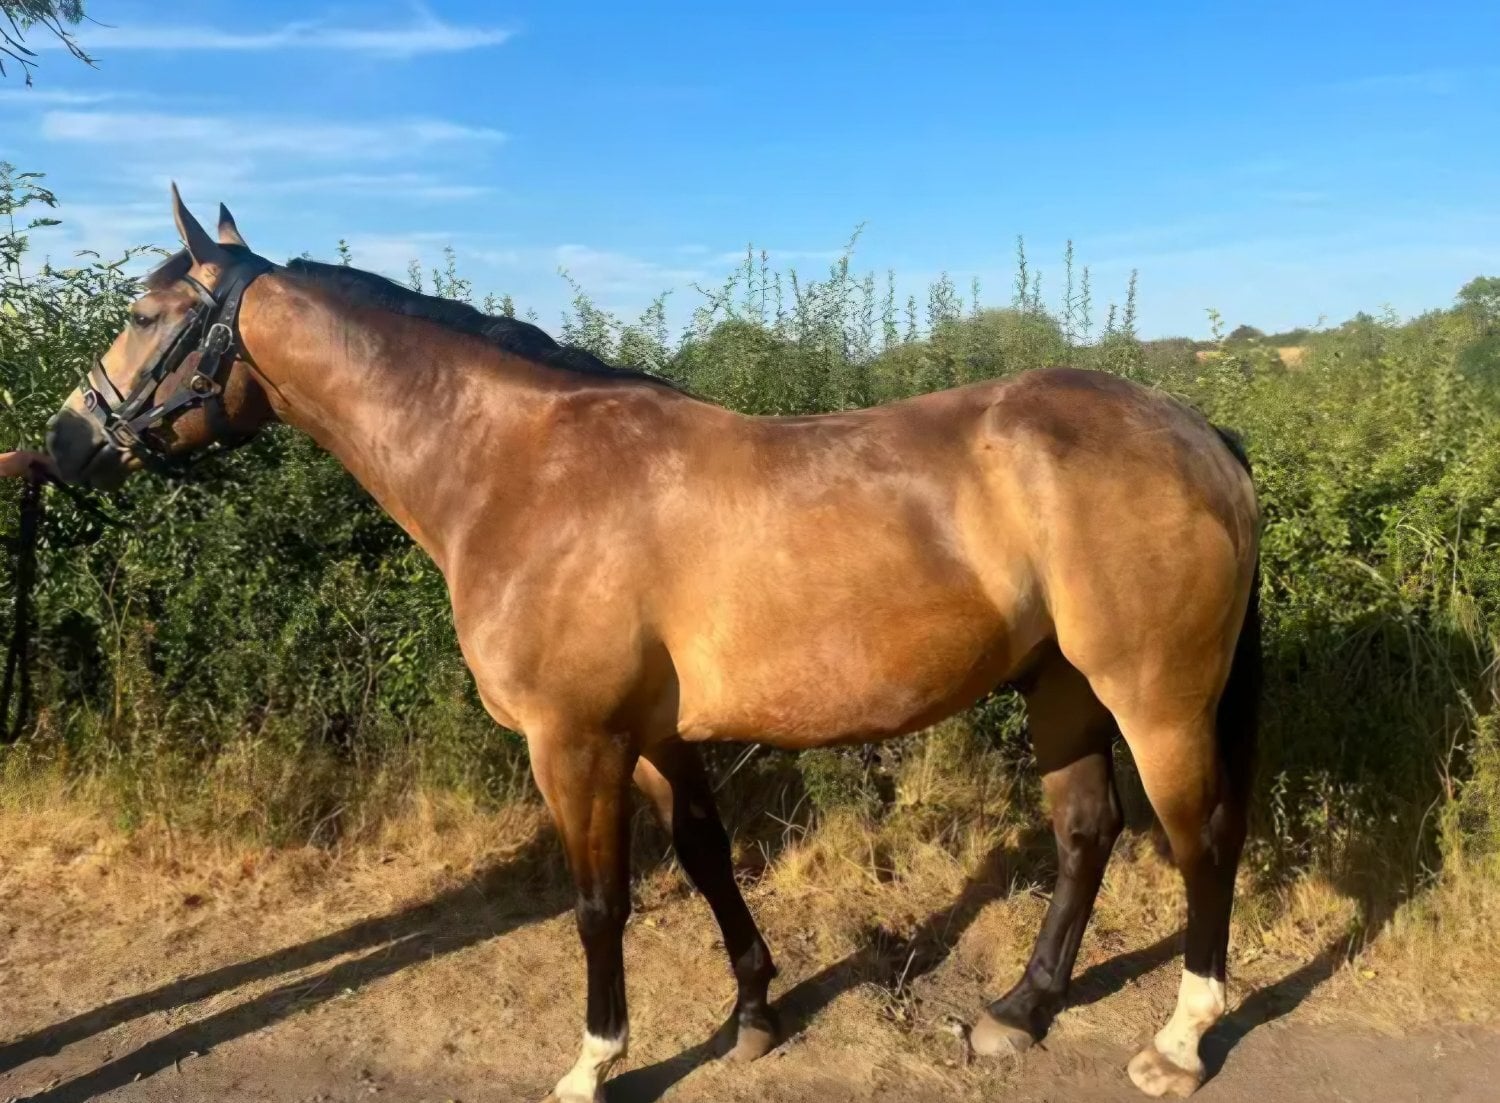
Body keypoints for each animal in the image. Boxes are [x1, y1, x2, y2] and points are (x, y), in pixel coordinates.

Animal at [46, 188, 1261, 1103]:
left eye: (148, 313)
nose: (65, 442)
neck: (515, 471)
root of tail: (1198, 431)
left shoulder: (573, 740)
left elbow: (599, 902)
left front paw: (594, 1062)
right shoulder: (655, 735)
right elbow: (708, 856)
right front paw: (757, 1009)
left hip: (1153, 696)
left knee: (1200, 840)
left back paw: (1179, 1041)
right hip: (1061, 683)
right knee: (1085, 832)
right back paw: (1021, 1008)